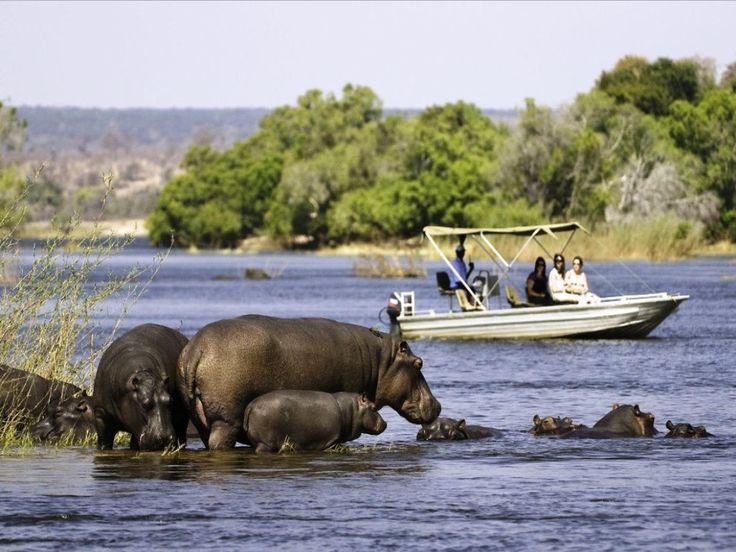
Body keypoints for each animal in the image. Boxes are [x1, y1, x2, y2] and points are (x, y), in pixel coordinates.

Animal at [243, 391, 387, 453]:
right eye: (373, 407)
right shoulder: (332, 440)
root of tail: (251, 405)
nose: (385, 423)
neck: (352, 409)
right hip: (266, 443)